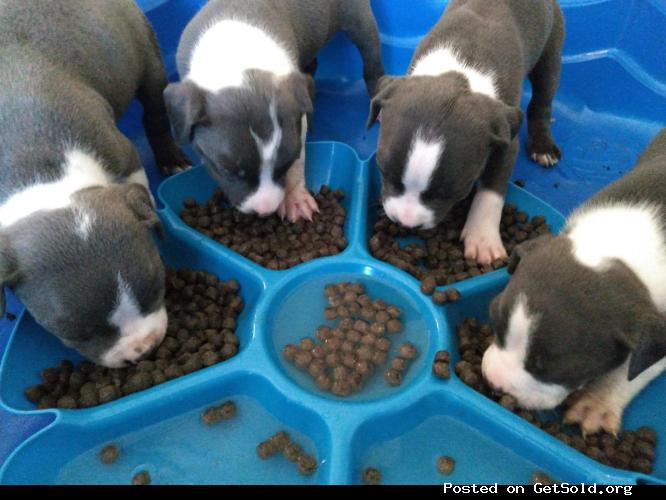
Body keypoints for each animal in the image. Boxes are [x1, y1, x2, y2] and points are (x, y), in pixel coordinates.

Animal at [0, 0, 188, 368]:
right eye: (76, 334)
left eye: (157, 287)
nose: (143, 349)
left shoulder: (123, 156)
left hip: (144, 52)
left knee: (155, 112)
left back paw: (172, 158)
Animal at [163, 0, 384, 221]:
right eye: (226, 170)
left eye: (287, 163)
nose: (264, 211)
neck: (239, 54)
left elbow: (300, 157)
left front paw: (295, 198)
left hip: (359, 20)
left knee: (371, 62)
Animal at [366, 0, 564, 266]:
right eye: (383, 172)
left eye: (456, 192)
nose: (407, 222)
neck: (460, 73)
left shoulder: (505, 140)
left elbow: (492, 190)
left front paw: (482, 238)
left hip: (551, 50)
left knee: (542, 100)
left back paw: (542, 146)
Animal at [480, 129, 664, 438]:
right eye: (493, 319)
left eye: (551, 369)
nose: (494, 384)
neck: (616, 245)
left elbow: (631, 372)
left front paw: (598, 402)